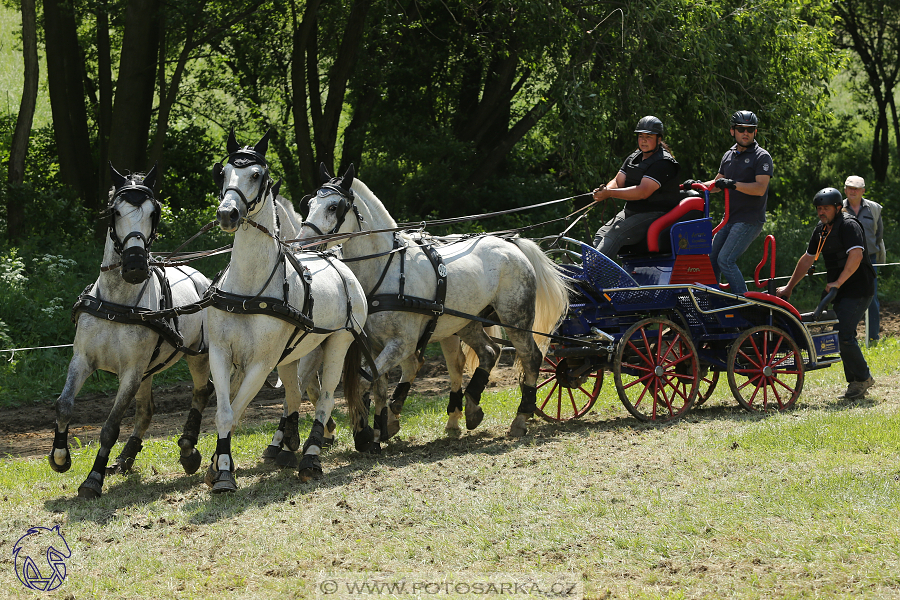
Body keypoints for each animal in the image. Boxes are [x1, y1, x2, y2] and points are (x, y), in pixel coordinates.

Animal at [50, 163, 214, 496]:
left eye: (155, 212)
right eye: (115, 211)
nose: (136, 264)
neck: (117, 303)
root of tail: (198, 276)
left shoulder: (131, 372)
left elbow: (110, 426)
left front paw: (93, 479)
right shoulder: (82, 360)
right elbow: (64, 406)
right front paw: (60, 457)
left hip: (195, 356)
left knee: (202, 392)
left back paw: (188, 449)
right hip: (148, 370)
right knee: (146, 410)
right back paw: (126, 457)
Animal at [207, 131, 370, 492]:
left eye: (256, 175)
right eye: (223, 173)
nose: (227, 214)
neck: (248, 289)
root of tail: (336, 260)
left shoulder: (261, 363)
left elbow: (236, 410)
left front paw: (224, 470)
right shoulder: (220, 353)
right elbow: (225, 412)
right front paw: (219, 465)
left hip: (338, 344)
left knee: (324, 398)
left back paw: (311, 457)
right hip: (293, 353)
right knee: (295, 396)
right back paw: (288, 445)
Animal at [302, 164, 568, 440]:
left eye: (334, 206)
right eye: (309, 203)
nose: (303, 241)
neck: (386, 267)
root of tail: (510, 244)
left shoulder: (402, 344)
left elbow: (366, 381)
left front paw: (370, 429)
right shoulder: (373, 345)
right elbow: (377, 385)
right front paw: (381, 426)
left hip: (516, 318)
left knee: (531, 358)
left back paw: (520, 418)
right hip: (466, 321)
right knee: (489, 351)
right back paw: (471, 407)